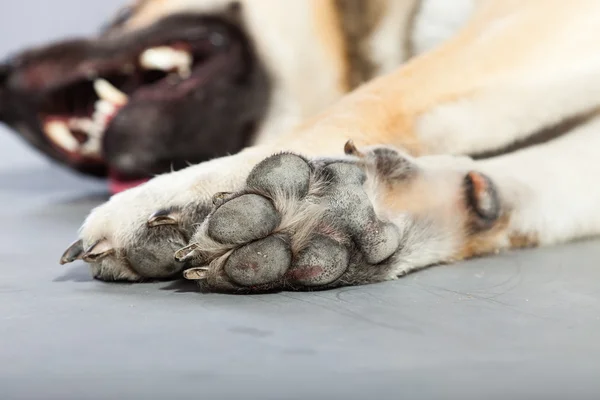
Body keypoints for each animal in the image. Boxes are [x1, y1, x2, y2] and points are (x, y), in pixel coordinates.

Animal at [1, 0, 600, 294]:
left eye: (121, 17)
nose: (7, 83)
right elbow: (525, 188)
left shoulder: (543, 19)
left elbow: (384, 93)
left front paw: (186, 190)